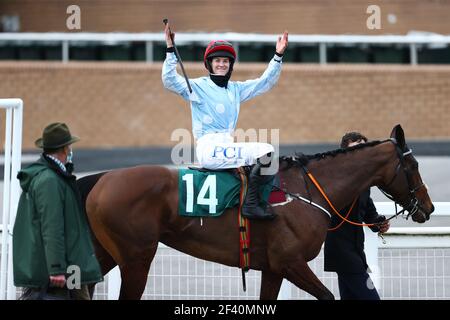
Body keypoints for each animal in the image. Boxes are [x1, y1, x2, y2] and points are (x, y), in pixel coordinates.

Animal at [78, 124, 436, 298]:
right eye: (413, 166)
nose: (429, 208)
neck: (304, 191)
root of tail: (100, 178)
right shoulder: (291, 262)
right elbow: (328, 296)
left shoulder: (273, 268)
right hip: (136, 258)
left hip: (106, 254)